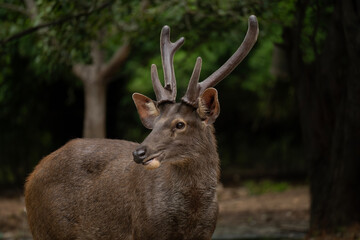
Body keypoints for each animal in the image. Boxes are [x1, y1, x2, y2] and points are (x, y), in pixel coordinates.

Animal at [24, 15, 258, 240]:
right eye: (154, 124)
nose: (138, 153)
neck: (192, 215)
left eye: (180, 124)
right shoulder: (146, 230)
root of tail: (30, 178)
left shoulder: (205, 233)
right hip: (47, 229)